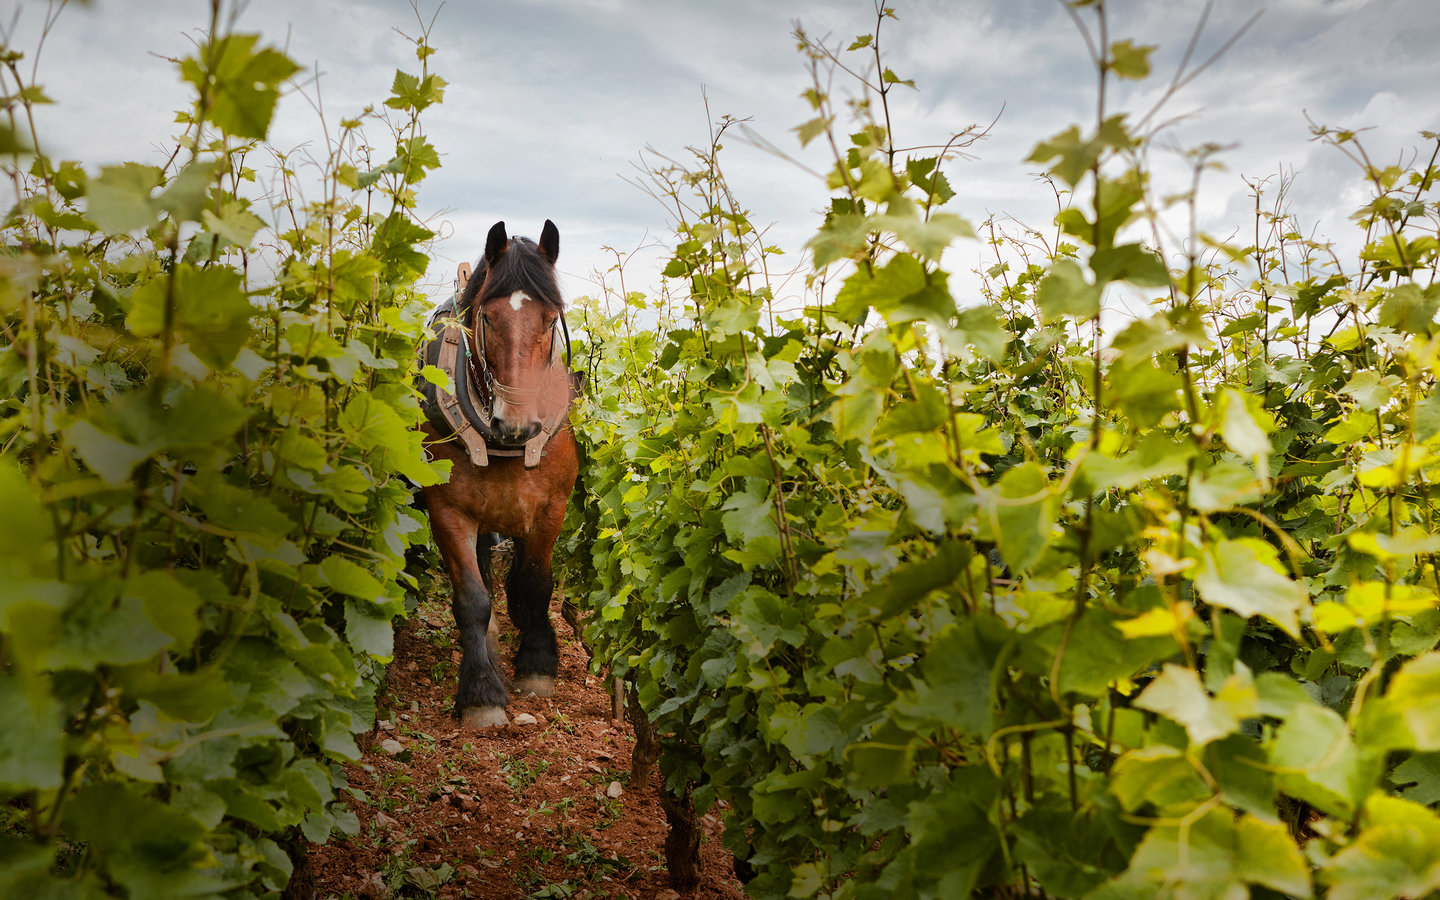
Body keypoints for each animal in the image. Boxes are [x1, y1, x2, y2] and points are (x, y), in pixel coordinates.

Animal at [420, 218, 576, 731]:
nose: (517, 424)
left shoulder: (551, 508)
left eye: (550, 319)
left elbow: (536, 584)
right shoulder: (446, 510)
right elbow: (471, 597)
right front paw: (481, 692)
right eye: (487, 319)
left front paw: (537, 662)